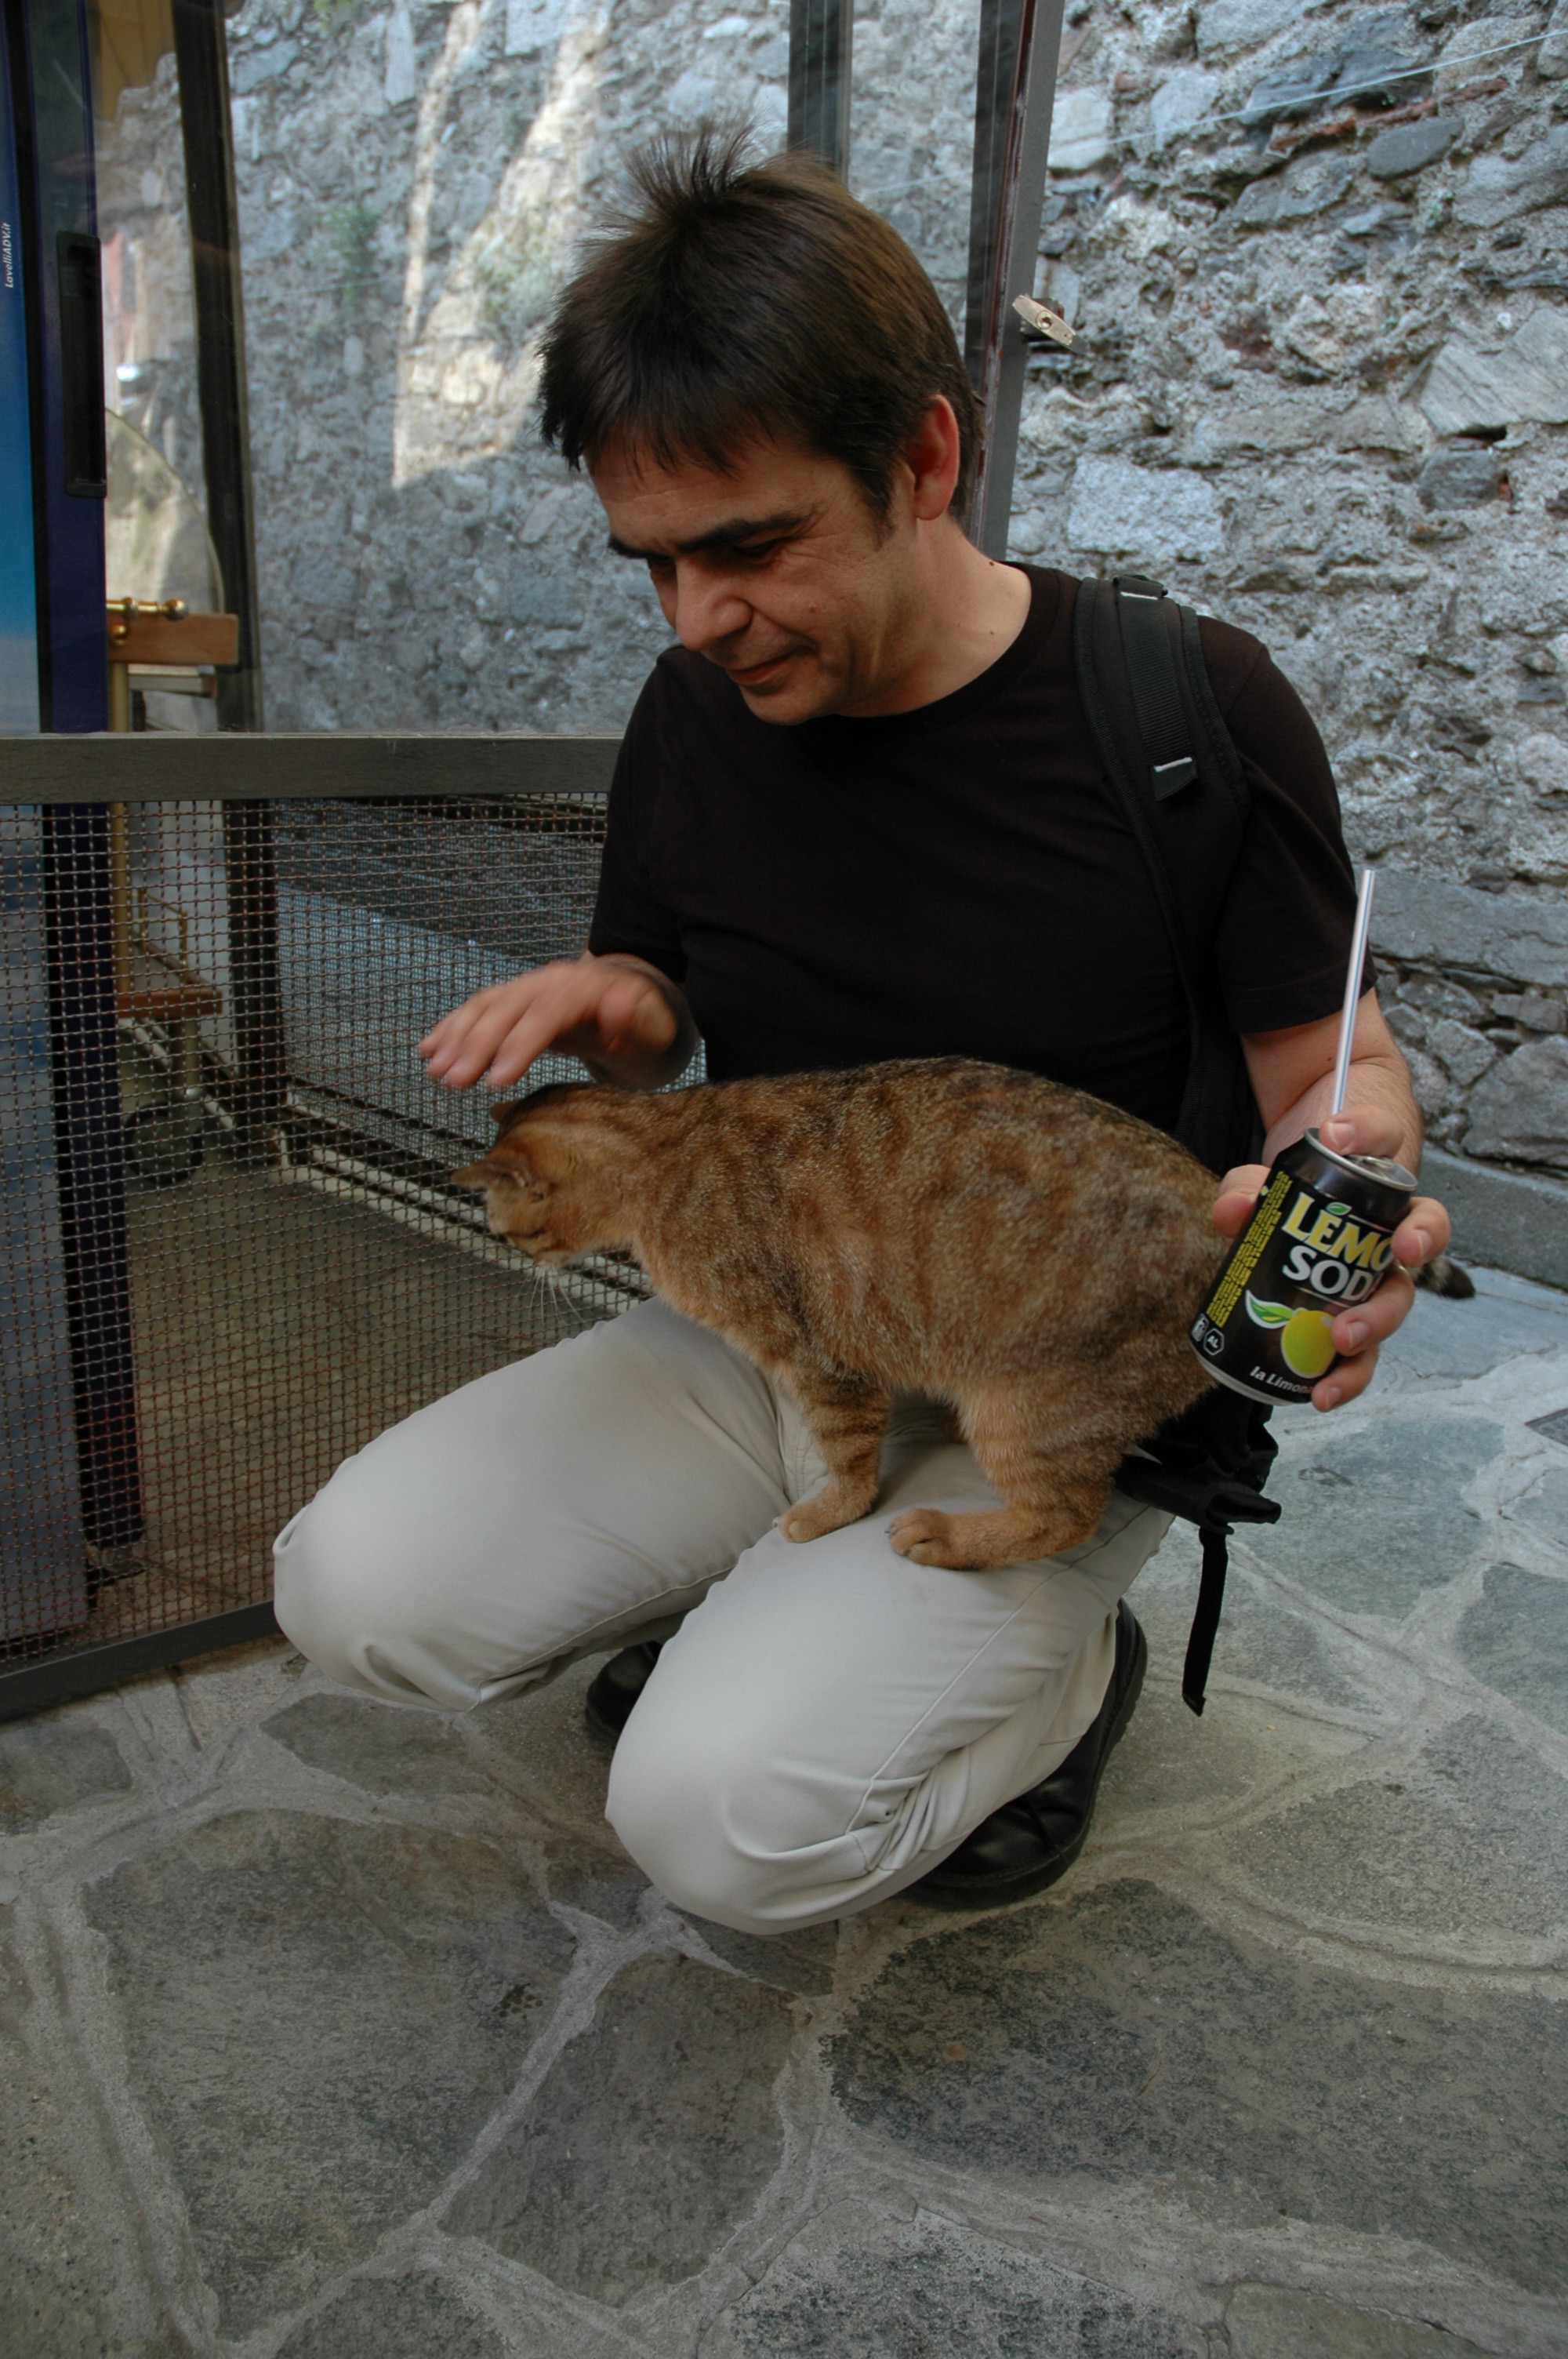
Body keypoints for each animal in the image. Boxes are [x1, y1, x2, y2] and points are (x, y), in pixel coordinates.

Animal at [452, 1061, 1225, 1576]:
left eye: (509, 1232)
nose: (513, 1251)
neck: (664, 1148)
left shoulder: (819, 1356)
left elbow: (849, 1458)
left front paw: (828, 1513)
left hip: (1032, 1414)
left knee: (1066, 1517)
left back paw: (950, 1538)